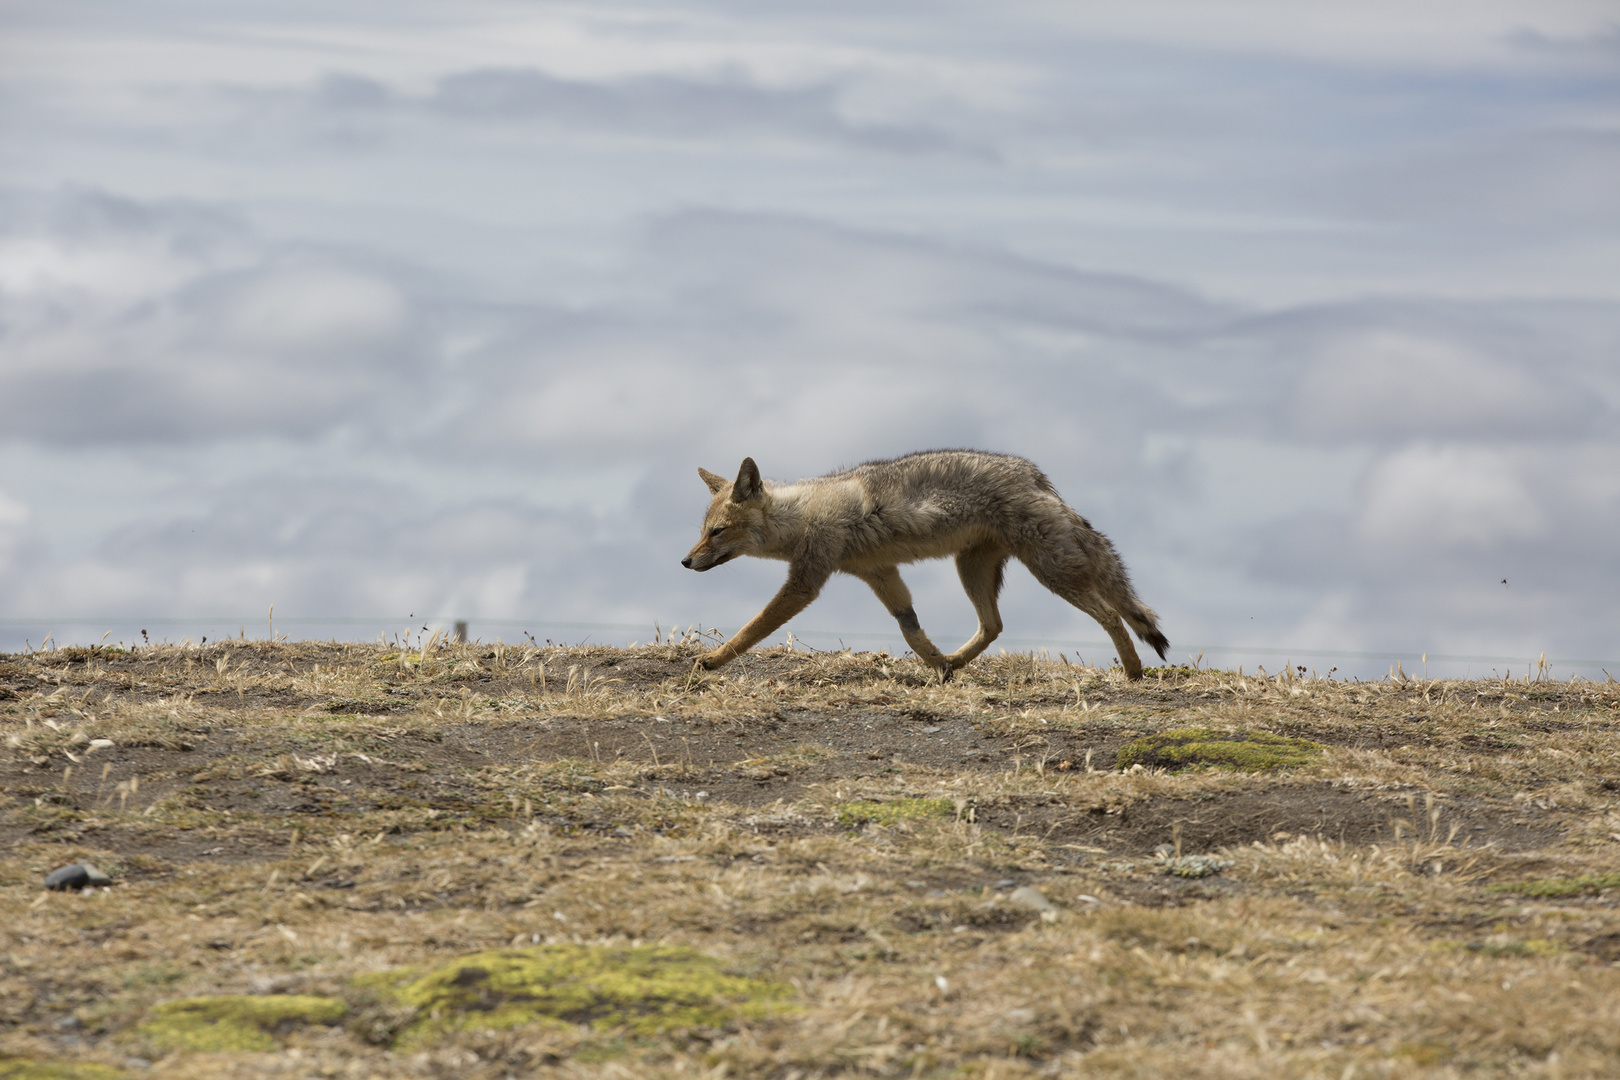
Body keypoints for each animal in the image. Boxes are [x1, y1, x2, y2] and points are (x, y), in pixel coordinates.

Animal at [677, 453, 1172, 680]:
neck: (800, 515)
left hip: (1052, 574)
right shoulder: (881, 575)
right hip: (972, 571)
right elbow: (910, 629)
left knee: (1111, 616)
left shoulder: (805, 583)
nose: (684, 561)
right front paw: (937, 664)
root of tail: (1034, 474)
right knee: (994, 626)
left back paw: (1133, 672)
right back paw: (954, 661)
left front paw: (713, 660)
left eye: (717, 532)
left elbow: (751, 629)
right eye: (703, 531)